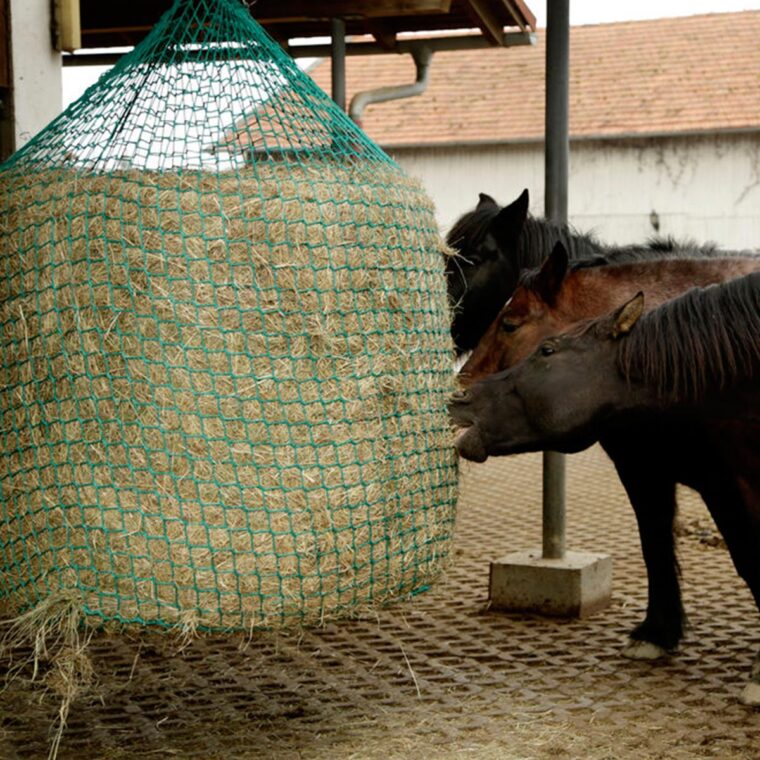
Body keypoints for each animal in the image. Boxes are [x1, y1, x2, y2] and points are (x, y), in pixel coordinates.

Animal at [452, 274, 760, 708]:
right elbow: (656, 546)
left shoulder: (727, 485)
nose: (460, 394)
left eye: (546, 349)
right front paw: (655, 634)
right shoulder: (649, 473)